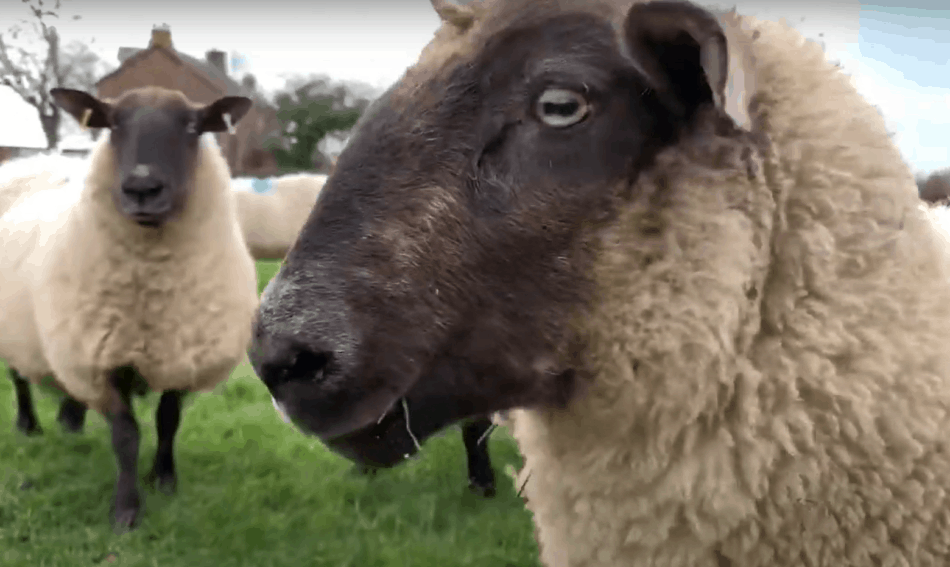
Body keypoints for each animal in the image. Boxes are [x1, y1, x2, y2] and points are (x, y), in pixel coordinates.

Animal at [0, 85, 260, 532]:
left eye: (192, 126)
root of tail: (36, 164)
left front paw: (164, 478)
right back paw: (28, 425)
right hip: (18, 327)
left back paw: (71, 420)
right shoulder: (102, 361)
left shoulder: (182, 352)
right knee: (18, 377)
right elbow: (126, 435)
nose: (142, 187)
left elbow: (167, 421)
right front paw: (126, 510)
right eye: (113, 123)